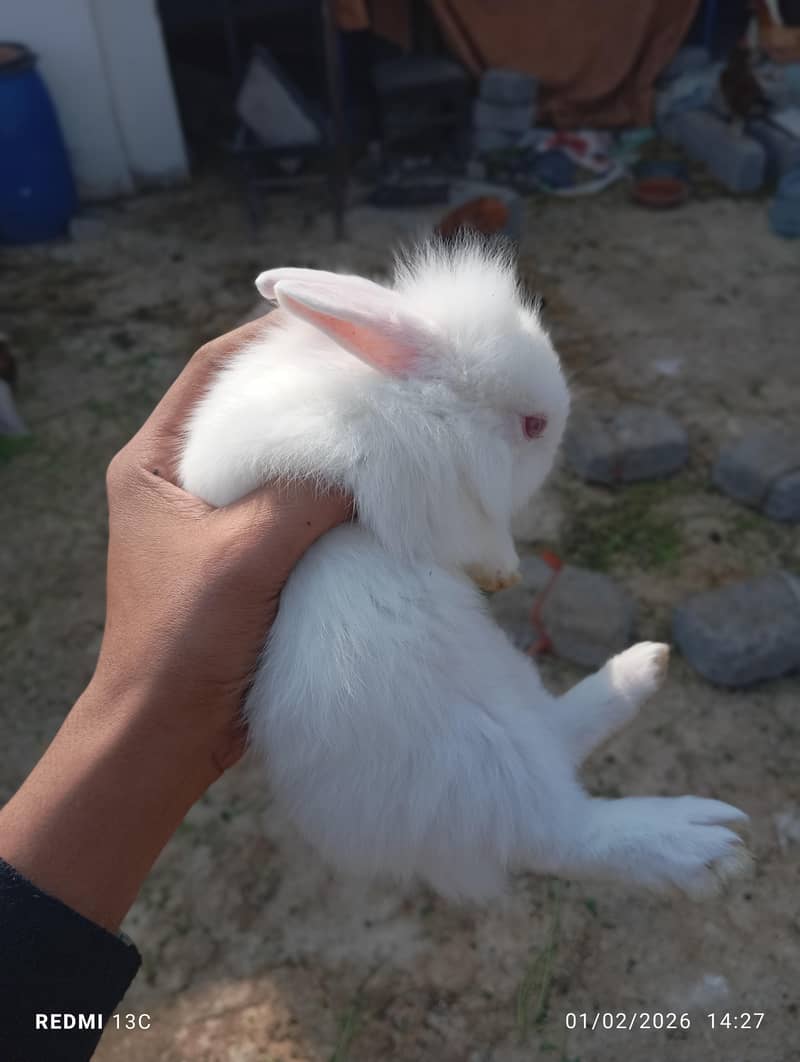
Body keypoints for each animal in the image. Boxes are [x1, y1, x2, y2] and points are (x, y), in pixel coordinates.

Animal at [179, 238, 751, 902]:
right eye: (532, 424)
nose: (558, 433)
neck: (416, 402)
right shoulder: (424, 497)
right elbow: (479, 534)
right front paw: (504, 568)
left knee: (562, 737)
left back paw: (644, 667)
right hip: (480, 754)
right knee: (559, 832)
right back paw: (707, 847)